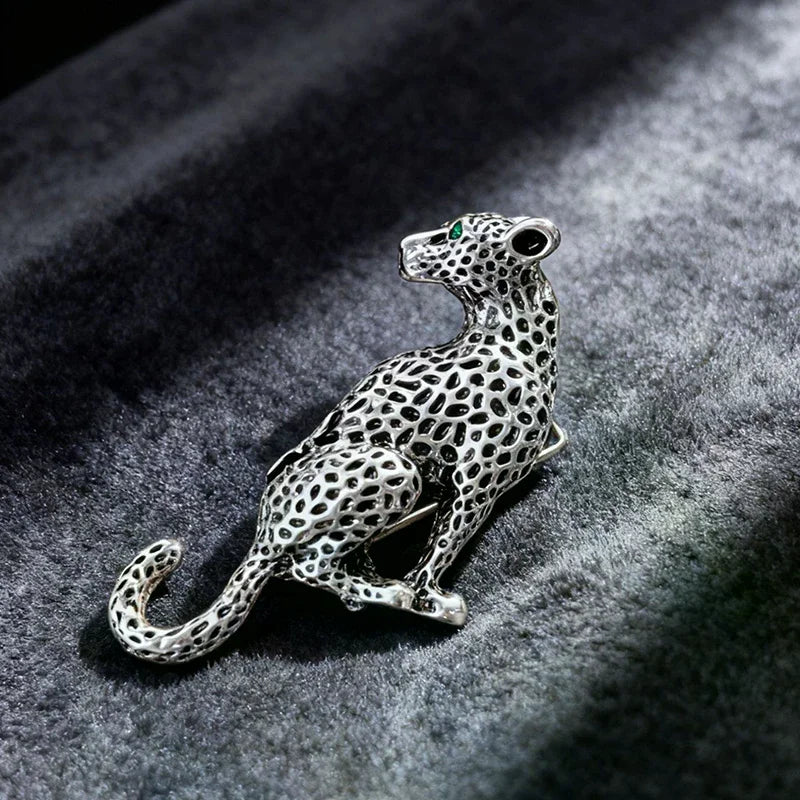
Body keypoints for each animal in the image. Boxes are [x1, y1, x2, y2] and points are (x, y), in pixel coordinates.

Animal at [108, 212, 566, 663]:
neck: (507, 337)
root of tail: (263, 530)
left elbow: (441, 543)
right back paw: (391, 593)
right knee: (310, 567)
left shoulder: (473, 486)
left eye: (454, 232)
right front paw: (429, 599)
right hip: (392, 468)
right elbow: (441, 549)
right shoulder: (475, 489)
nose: (404, 247)